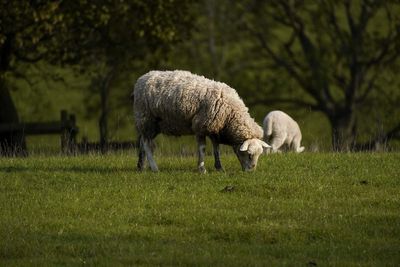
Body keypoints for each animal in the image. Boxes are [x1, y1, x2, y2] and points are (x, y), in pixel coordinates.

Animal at [133, 70, 270, 173]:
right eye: (249, 155)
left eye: (259, 155)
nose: (251, 172)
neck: (230, 114)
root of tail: (141, 79)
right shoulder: (200, 125)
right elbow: (203, 148)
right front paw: (202, 169)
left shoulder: (214, 128)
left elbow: (216, 148)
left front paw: (219, 167)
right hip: (147, 119)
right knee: (146, 144)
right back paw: (154, 167)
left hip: (152, 124)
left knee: (142, 142)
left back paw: (141, 166)